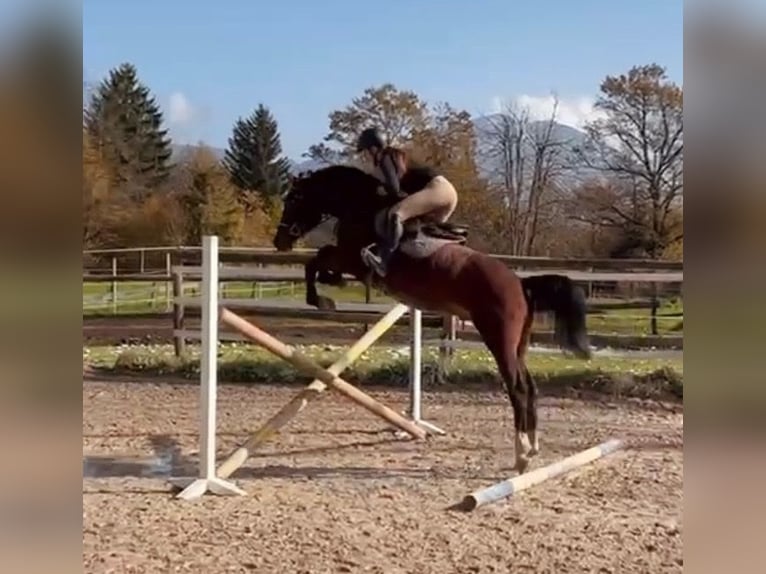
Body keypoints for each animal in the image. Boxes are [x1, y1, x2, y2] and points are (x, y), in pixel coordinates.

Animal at [272, 164, 592, 474]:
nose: (279, 241)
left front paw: (321, 298)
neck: (359, 205)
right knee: (530, 386)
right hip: (518, 344)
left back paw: (522, 453)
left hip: (498, 339)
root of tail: (521, 284)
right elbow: (320, 263)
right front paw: (330, 287)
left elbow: (317, 260)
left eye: (293, 199)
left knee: (518, 388)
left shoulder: (351, 259)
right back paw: (533, 447)